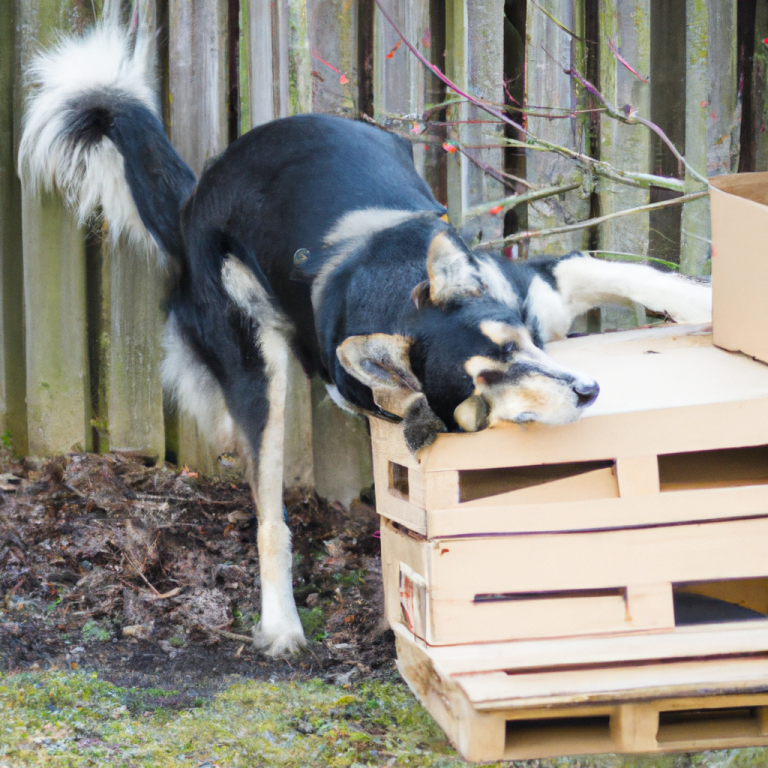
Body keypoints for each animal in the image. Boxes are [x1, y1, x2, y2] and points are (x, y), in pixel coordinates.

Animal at [19, 22, 712, 656]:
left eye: (518, 342)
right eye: (482, 386)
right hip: (258, 370)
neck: (398, 290)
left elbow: (637, 274)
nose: (588, 389)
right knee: (269, 517)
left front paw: (706, 299)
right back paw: (281, 624)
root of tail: (194, 197)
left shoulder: (543, 283)